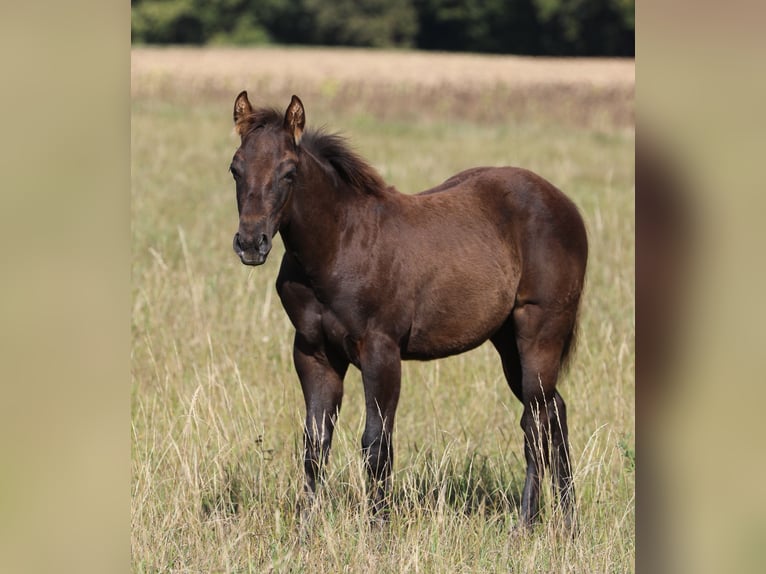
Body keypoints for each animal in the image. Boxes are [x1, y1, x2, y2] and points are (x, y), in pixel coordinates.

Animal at [228, 93, 588, 532]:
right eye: (235, 168)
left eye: (289, 172)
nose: (251, 243)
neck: (337, 245)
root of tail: (566, 205)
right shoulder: (313, 353)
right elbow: (315, 443)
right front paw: (304, 532)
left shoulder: (381, 351)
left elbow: (376, 442)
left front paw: (378, 531)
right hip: (507, 342)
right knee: (553, 411)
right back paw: (567, 522)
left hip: (540, 331)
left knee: (536, 418)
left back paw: (526, 523)